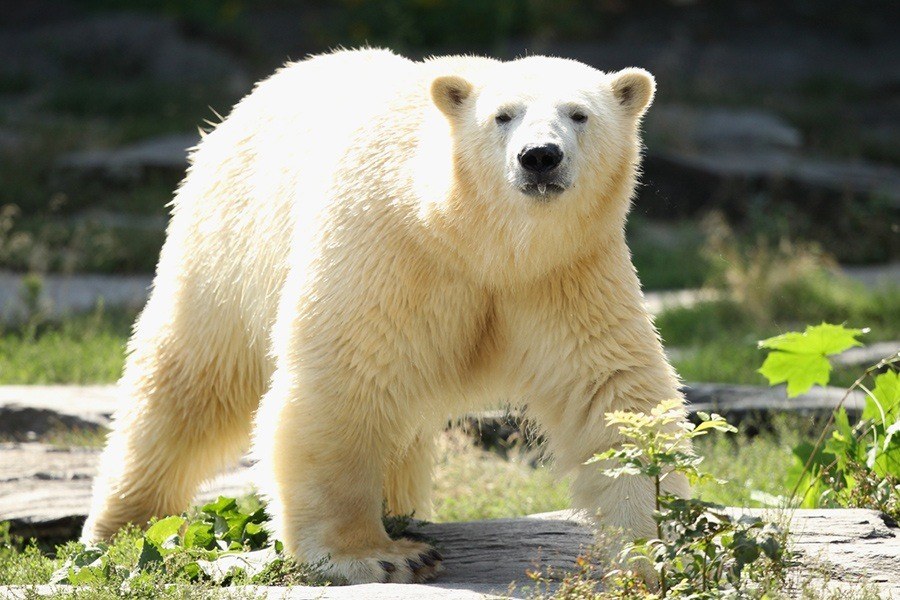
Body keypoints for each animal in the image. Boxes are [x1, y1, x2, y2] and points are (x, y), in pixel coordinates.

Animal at [81, 48, 689, 584]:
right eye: (503, 115)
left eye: (579, 114)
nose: (540, 156)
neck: (475, 237)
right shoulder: (388, 251)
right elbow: (347, 379)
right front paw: (381, 557)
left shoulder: (565, 272)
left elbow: (612, 393)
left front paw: (657, 550)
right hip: (226, 241)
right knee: (187, 382)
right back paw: (120, 526)